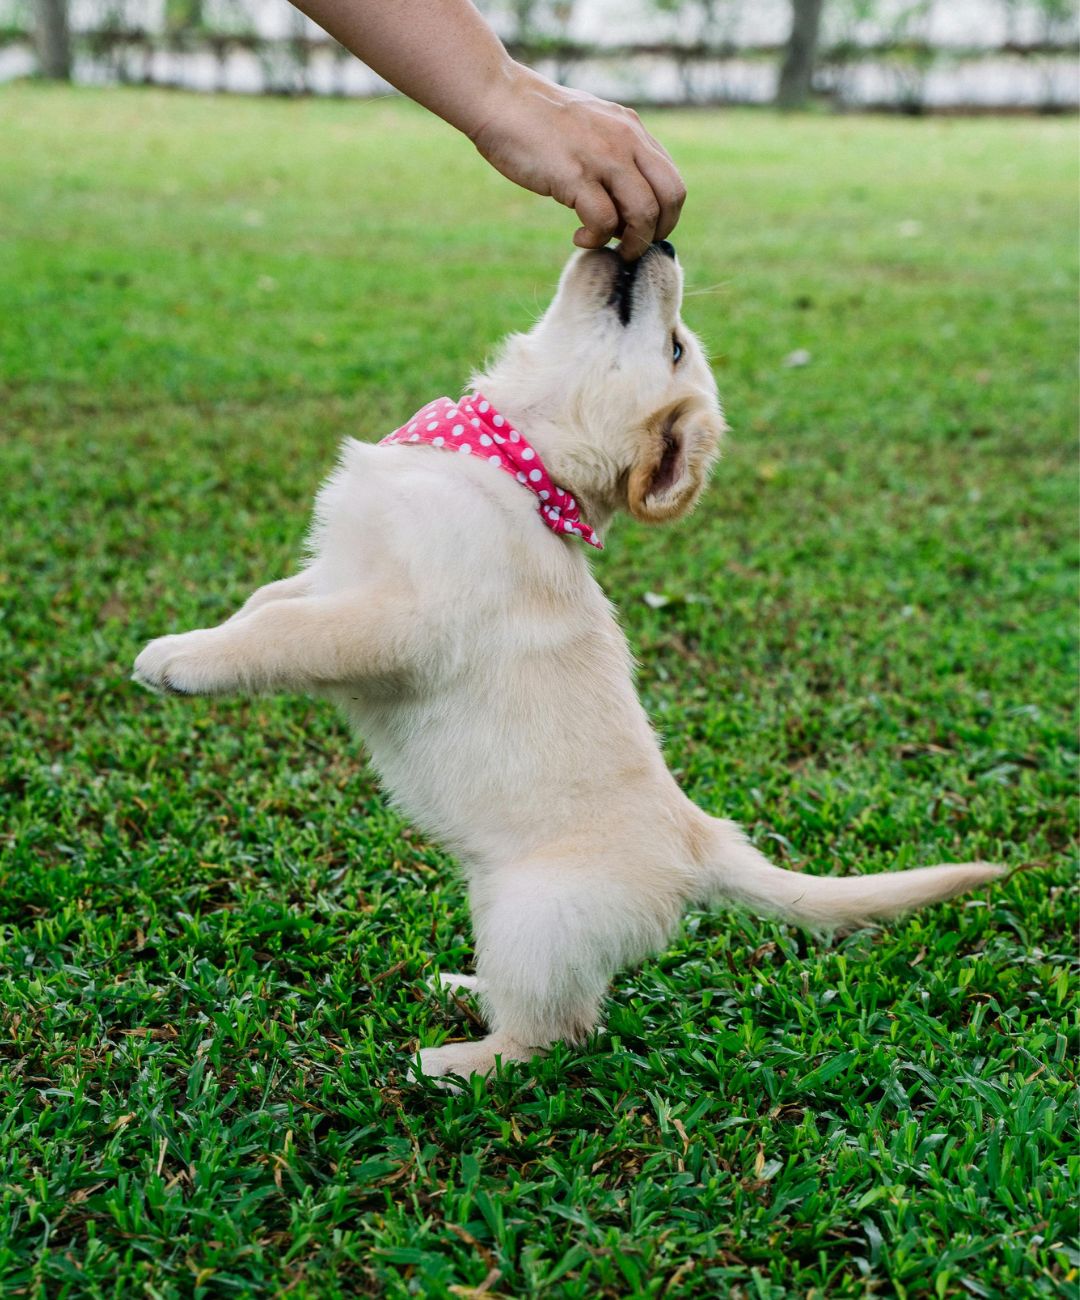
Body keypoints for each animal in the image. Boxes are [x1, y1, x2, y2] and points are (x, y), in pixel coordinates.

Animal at [133, 244, 1003, 1086]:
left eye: (676, 345)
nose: (666, 239)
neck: (513, 461)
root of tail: (699, 840)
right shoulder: (336, 575)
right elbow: (269, 600)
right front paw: (201, 632)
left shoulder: (394, 620)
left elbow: (282, 630)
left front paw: (180, 660)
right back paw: (465, 988)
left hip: (532, 918)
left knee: (559, 1034)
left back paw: (454, 1064)